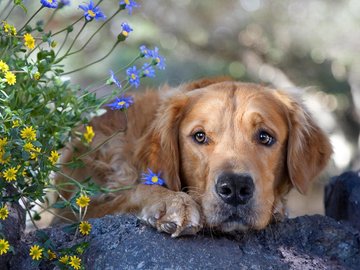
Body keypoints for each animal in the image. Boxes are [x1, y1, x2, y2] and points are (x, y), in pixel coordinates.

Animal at [55, 77, 332, 236]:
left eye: (265, 137)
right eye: (200, 136)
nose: (235, 188)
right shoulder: (80, 209)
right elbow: (136, 190)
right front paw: (172, 202)